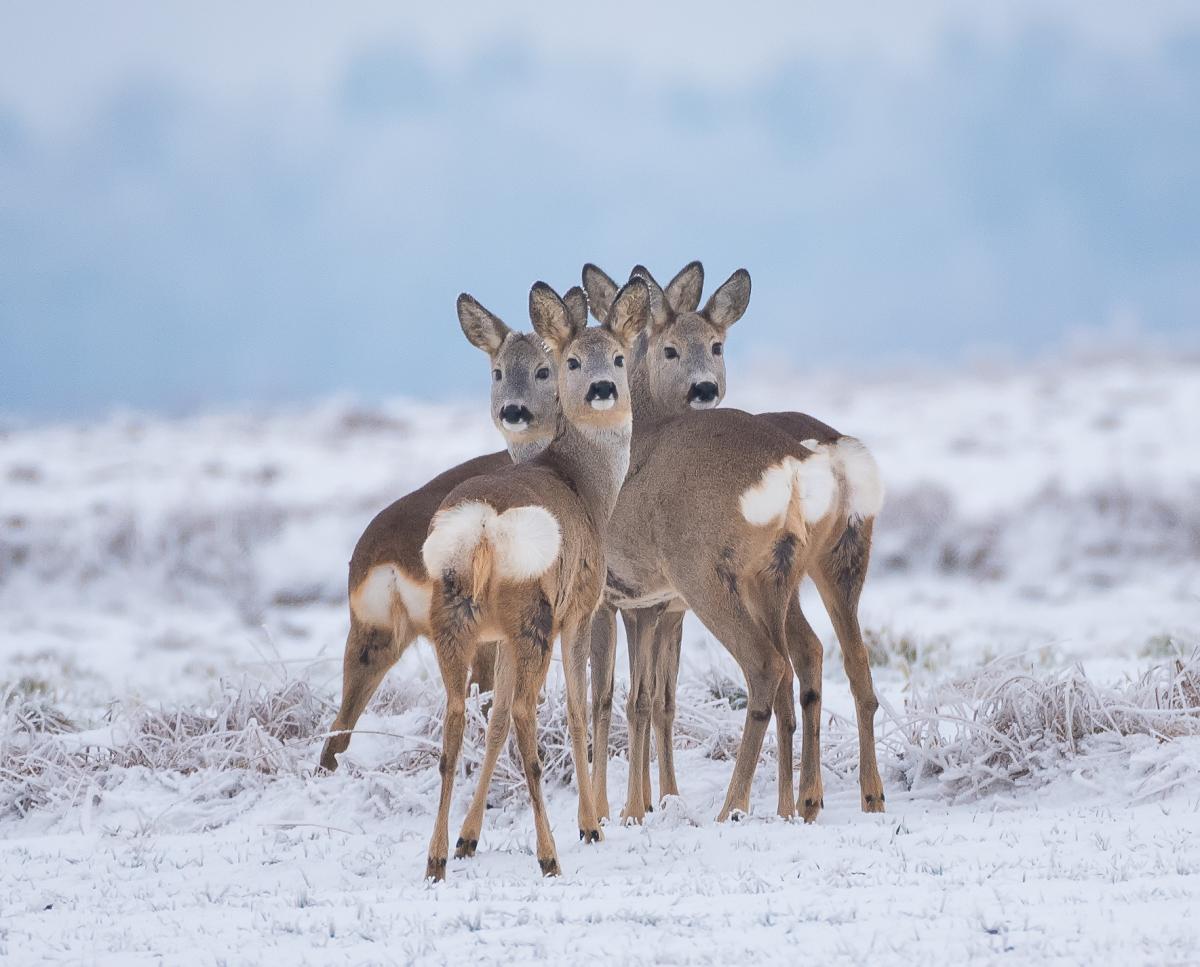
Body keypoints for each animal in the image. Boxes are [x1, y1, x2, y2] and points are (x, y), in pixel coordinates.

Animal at [316, 287, 583, 772]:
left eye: (544, 369)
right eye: (497, 370)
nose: (513, 411)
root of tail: (390, 556)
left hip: (371, 630)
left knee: (339, 728)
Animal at [420, 275, 648, 883]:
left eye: (619, 357)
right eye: (570, 360)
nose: (602, 389)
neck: (584, 487)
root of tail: (481, 531)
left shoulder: (496, 636)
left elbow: (494, 720)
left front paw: (470, 838)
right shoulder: (581, 607)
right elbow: (576, 709)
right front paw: (591, 824)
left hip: (453, 619)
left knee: (456, 722)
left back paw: (436, 858)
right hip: (534, 617)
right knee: (527, 715)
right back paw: (550, 854)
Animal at [585, 259, 888, 825]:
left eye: (716, 345)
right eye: (671, 349)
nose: (704, 387)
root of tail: (810, 457)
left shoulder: (619, 598)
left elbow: (620, 698)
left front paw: (626, 810)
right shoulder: (659, 605)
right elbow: (654, 697)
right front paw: (652, 802)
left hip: (709, 574)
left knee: (769, 665)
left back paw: (738, 806)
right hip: (819, 565)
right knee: (840, 662)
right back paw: (846, 798)